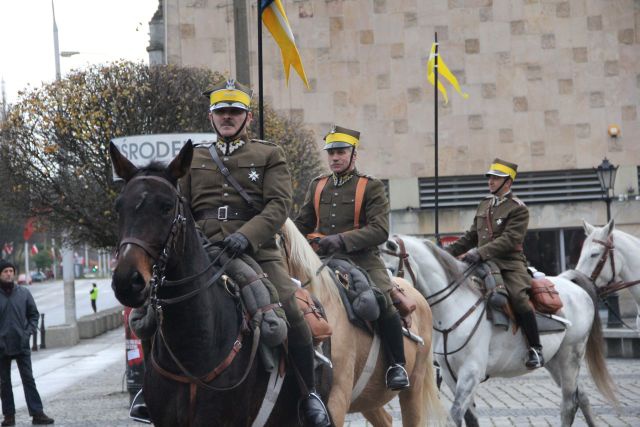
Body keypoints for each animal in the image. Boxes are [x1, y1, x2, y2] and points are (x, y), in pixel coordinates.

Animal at [380, 237, 616, 427]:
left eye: (389, 270)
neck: (454, 306)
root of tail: (572, 285)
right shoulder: (449, 374)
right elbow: (470, 417)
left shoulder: (471, 372)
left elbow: (455, 415)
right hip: (555, 361)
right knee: (581, 396)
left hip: (570, 357)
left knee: (568, 404)